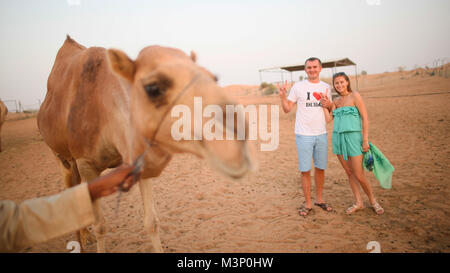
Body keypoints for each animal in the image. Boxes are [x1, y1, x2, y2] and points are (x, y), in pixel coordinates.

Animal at [37, 35, 255, 251]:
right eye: (153, 88)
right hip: (62, 158)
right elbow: (100, 226)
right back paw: (83, 240)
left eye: (212, 78)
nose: (235, 137)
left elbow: (151, 222)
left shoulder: (139, 159)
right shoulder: (86, 163)